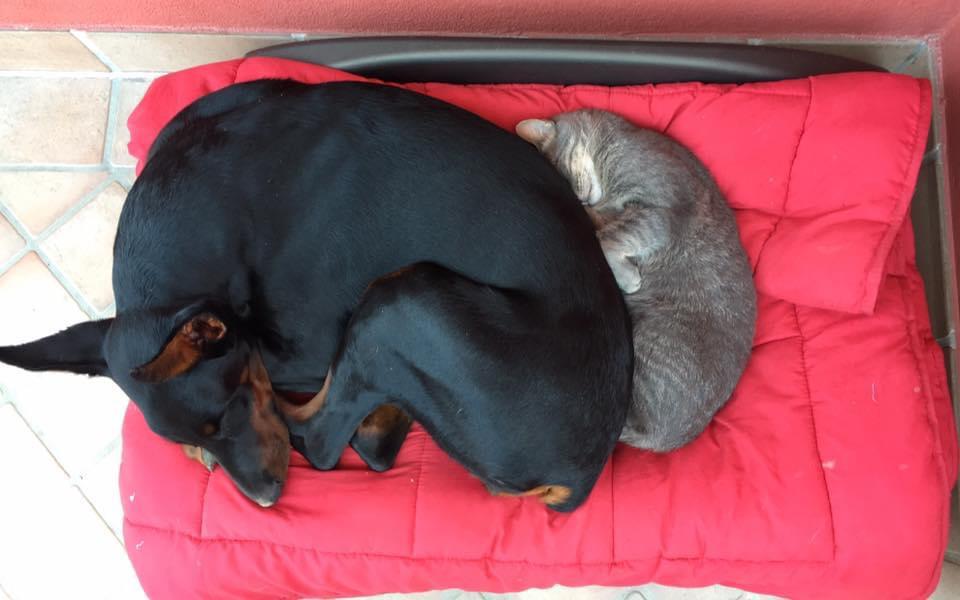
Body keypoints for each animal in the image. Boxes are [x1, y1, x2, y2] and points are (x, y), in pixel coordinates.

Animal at [0, 80, 632, 511]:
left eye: (227, 411)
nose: (266, 498)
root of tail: (579, 475)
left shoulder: (311, 341)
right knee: (372, 440)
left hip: (405, 300)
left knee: (328, 443)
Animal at [517, 109, 756, 451]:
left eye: (563, 173)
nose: (582, 202)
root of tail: (661, 441)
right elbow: (604, 233)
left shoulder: (659, 211)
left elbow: (608, 238)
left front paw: (628, 277)